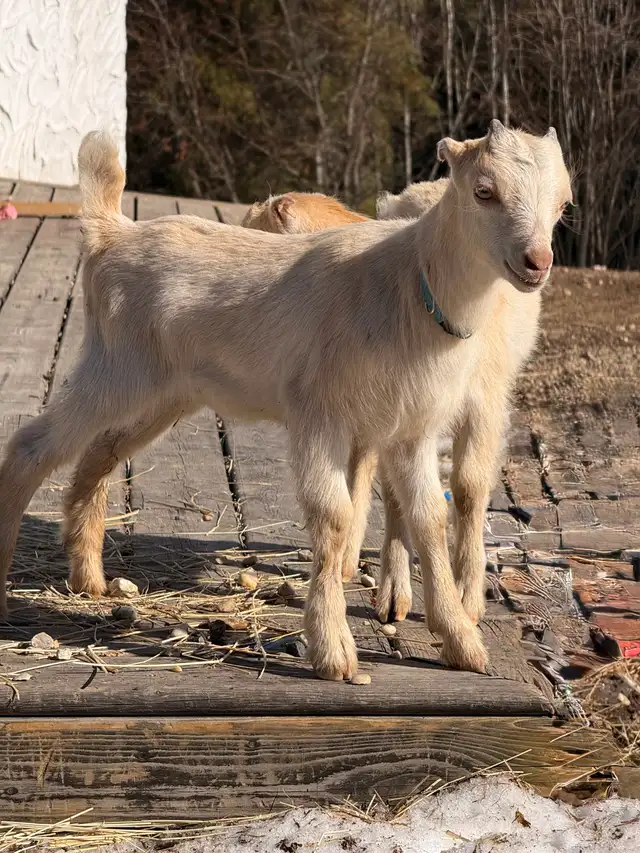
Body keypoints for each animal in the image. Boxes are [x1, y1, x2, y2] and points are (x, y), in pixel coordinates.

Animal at [0, 121, 572, 683]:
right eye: (483, 190)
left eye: (563, 203)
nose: (537, 262)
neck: (409, 284)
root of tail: (112, 233)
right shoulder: (319, 412)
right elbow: (335, 516)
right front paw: (333, 649)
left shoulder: (411, 428)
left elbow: (428, 516)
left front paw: (461, 641)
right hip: (115, 368)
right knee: (30, 446)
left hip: (163, 390)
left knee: (100, 451)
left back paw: (88, 576)